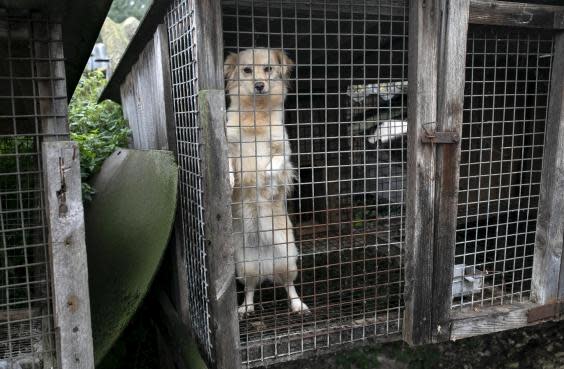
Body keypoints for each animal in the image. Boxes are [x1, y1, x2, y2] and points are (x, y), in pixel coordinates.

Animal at [223, 47, 308, 314]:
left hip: (288, 260)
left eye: (268, 69)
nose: (259, 85)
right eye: (247, 70)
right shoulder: (230, 146)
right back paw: (245, 308)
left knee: (289, 287)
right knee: (250, 289)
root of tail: (266, 266)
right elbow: (228, 163)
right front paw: (230, 180)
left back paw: (298, 305)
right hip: (245, 268)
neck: (256, 113)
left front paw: (267, 185)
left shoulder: (283, 151)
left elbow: (274, 165)